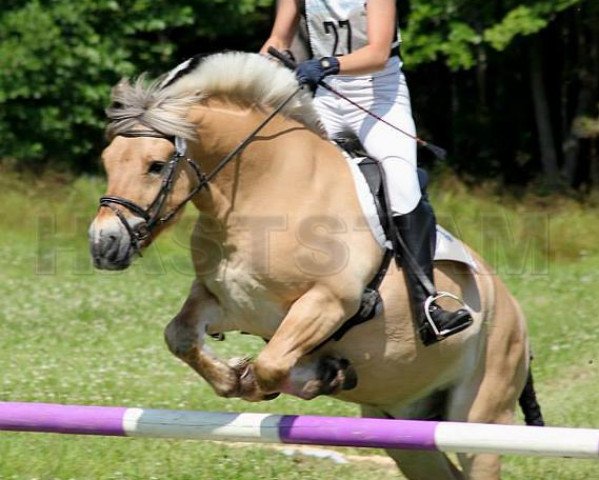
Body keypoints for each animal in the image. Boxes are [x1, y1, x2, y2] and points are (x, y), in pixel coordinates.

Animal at [90, 52, 544, 480]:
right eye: (108, 160)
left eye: (155, 165)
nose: (103, 245)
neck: (262, 191)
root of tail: (516, 315)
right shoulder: (231, 303)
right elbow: (181, 336)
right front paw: (238, 375)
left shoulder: (330, 301)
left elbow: (270, 365)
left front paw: (301, 375)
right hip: (405, 432)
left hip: (479, 417)